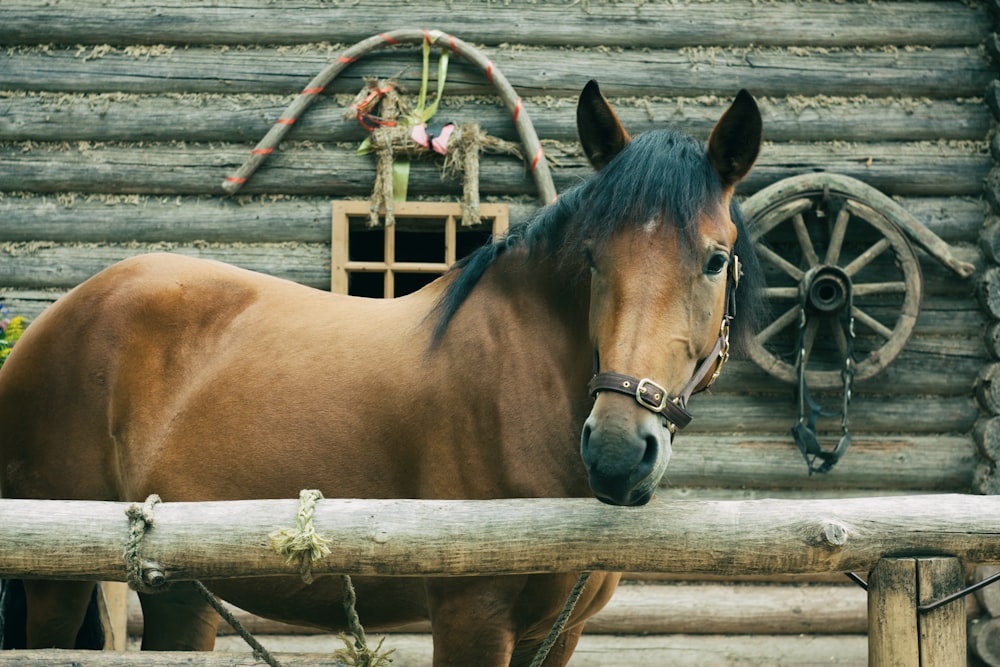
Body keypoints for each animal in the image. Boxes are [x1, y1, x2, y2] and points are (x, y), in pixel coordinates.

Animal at [0, 81, 760, 664]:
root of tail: (47, 325)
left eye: (715, 259)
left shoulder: (559, 631)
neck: (526, 379)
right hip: (55, 583)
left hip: (181, 587)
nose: (617, 451)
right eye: (594, 257)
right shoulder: (472, 615)